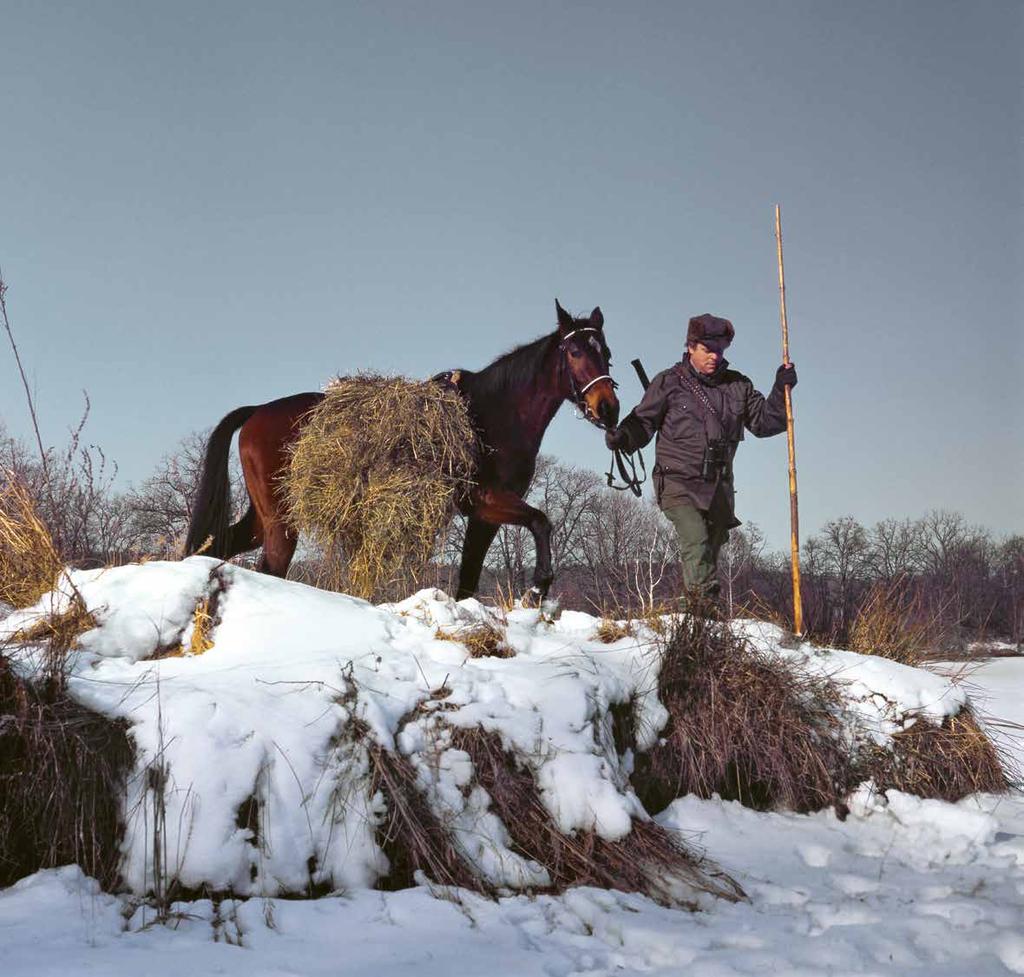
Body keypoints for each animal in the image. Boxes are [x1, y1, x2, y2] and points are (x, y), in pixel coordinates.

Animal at [183, 301, 614, 598]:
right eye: (575, 352)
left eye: (605, 354)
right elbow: (541, 521)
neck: (494, 414)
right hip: (280, 523)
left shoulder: (484, 518)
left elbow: (469, 578)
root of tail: (257, 411)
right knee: (269, 566)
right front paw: (540, 585)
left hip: (265, 518)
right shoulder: (489, 501)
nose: (608, 407)